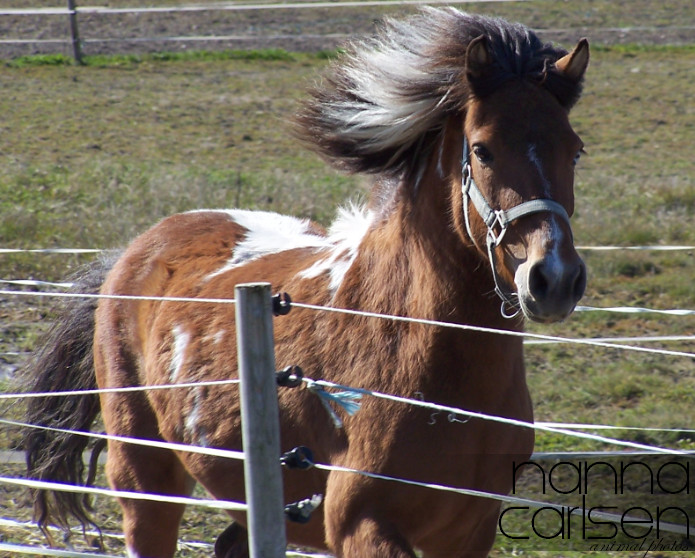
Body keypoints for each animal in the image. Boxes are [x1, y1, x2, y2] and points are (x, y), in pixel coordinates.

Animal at [27, 8, 588, 558]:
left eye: (575, 149)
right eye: (482, 149)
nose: (554, 277)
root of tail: (130, 254)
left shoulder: (469, 529)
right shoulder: (360, 522)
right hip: (145, 479)